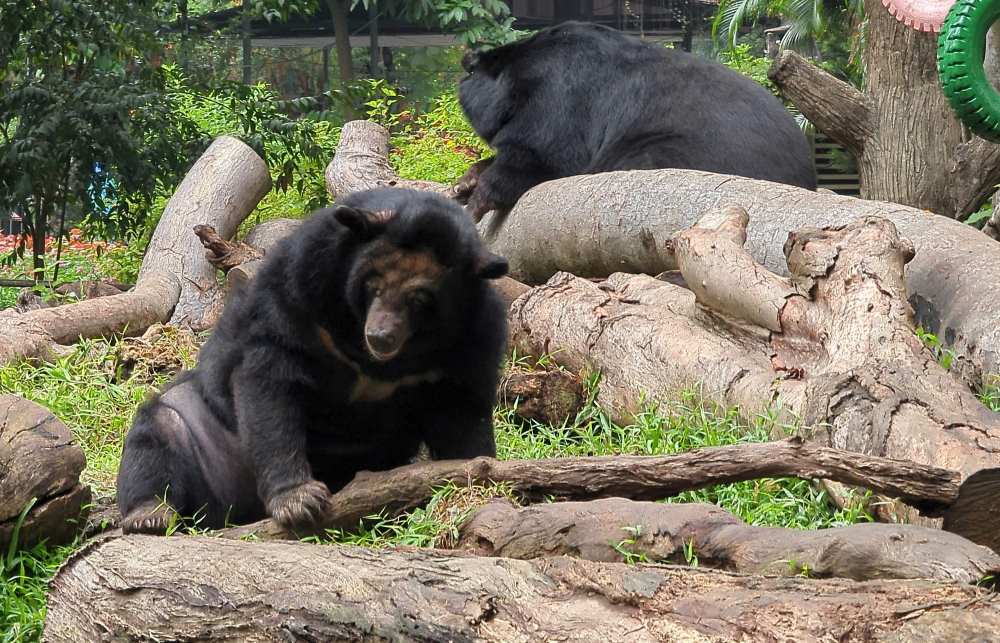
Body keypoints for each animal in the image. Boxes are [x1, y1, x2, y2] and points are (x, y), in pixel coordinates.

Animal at [116, 187, 510, 534]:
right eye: (374, 285)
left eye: (420, 299)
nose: (381, 336)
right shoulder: (301, 286)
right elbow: (271, 377)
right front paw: (298, 501)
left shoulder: (471, 336)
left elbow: (461, 410)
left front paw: (474, 480)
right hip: (210, 429)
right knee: (159, 428)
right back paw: (150, 514)